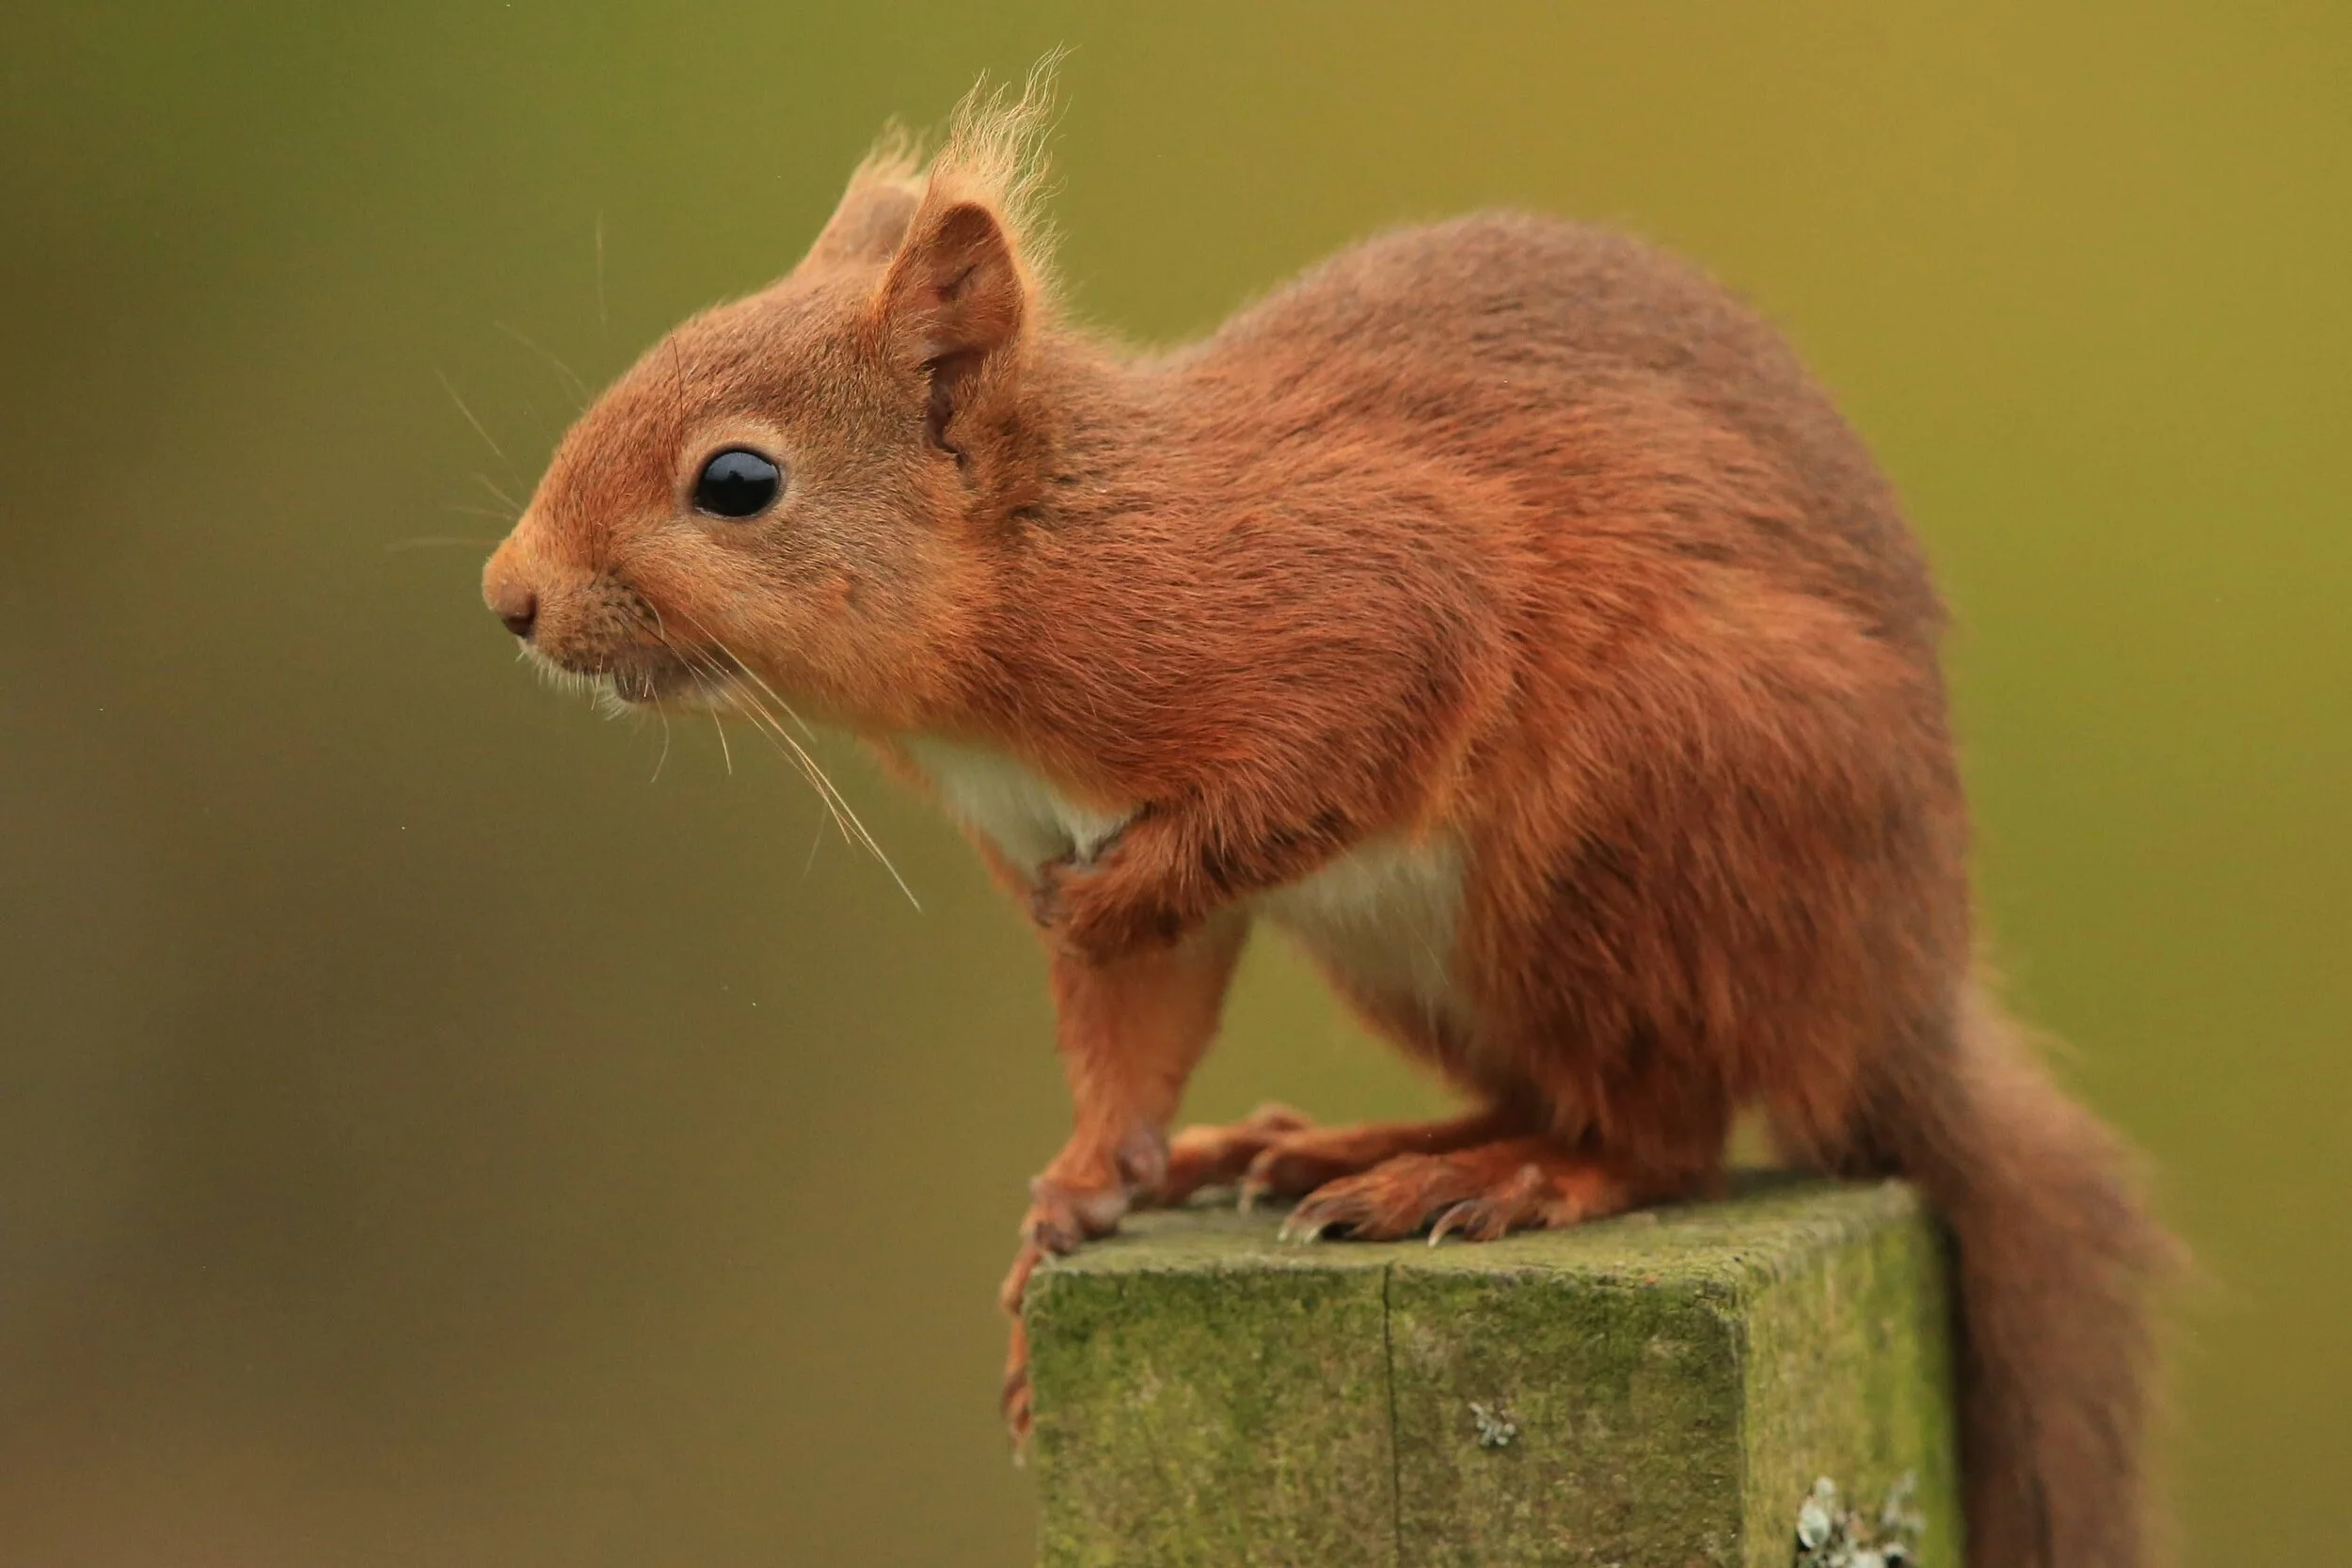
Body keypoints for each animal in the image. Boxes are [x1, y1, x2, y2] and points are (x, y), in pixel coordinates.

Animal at [482, 72, 2174, 1568]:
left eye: (738, 480)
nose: (511, 597)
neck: (1034, 571)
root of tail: (1900, 987)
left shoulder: (1364, 597)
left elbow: (1317, 759)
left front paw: (1112, 910)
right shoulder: (1064, 834)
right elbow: (1135, 1035)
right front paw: (1074, 1203)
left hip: (1638, 825)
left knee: (1660, 1131)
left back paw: (1495, 1179)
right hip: (1431, 951)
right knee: (1558, 1087)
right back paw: (1337, 1147)